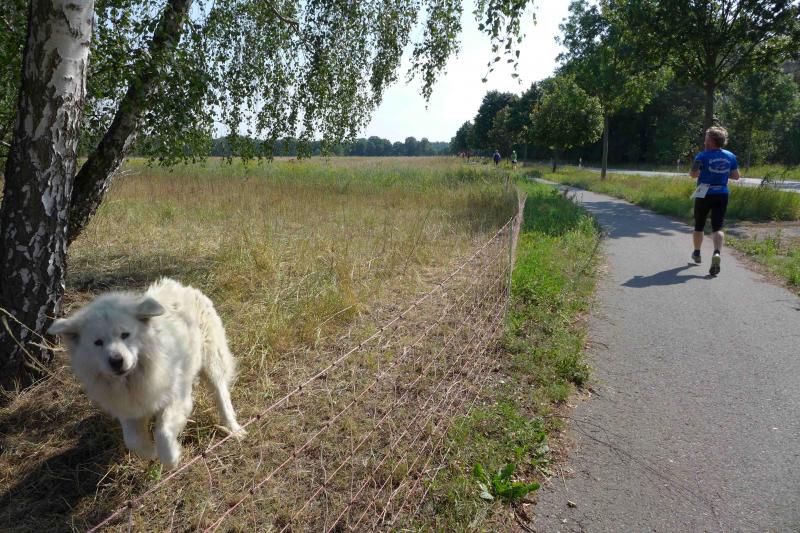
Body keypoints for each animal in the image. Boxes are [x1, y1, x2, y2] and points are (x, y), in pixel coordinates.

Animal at [48, 278, 245, 468]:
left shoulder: (176, 397)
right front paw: (150, 452)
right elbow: (132, 440)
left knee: (222, 395)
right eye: (98, 342)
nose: (116, 361)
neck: (135, 375)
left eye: (125, 335)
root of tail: (184, 287)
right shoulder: (129, 409)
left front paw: (170, 458)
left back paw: (234, 429)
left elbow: (163, 432)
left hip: (212, 361)